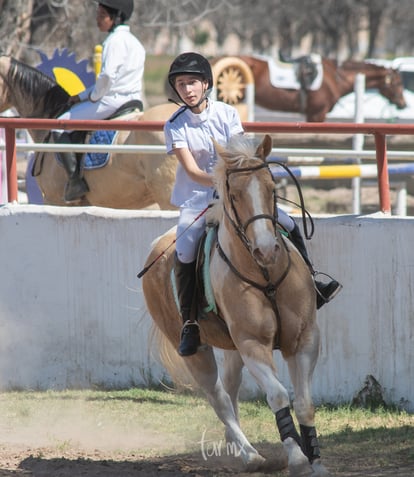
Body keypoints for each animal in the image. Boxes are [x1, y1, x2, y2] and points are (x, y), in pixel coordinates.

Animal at [142, 134, 330, 476]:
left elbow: (305, 403)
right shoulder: (253, 344)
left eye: (271, 186)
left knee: (229, 389)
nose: (266, 250)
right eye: (235, 194)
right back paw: (249, 455)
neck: (266, 276)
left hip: (231, 349)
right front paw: (297, 458)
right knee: (218, 398)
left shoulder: (305, 339)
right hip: (198, 351)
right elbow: (278, 395)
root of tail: (156, 245)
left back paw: (238, 447)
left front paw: (317, 462)